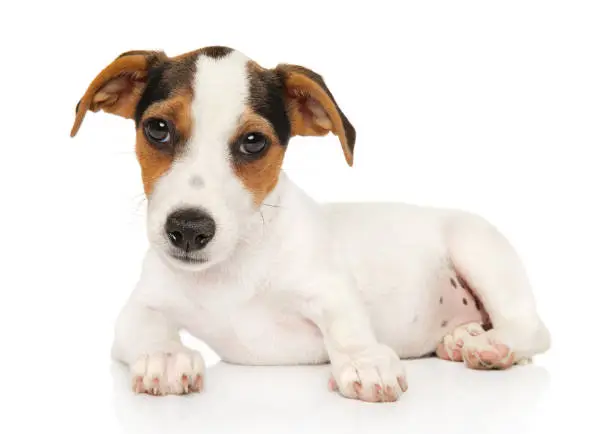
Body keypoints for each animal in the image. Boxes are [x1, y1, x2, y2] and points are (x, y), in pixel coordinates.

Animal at [70, 45, 548, 402]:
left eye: (253, 141)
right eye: (158, 128)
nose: (188, 229)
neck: (232, 268)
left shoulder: (329, 288)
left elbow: (347, 323)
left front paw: (363, 359)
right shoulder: (140, 306)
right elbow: (144, 326)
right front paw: (166, 356)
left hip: (477, 246)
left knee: (532, 327)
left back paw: (490, 346)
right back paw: (460, 338)